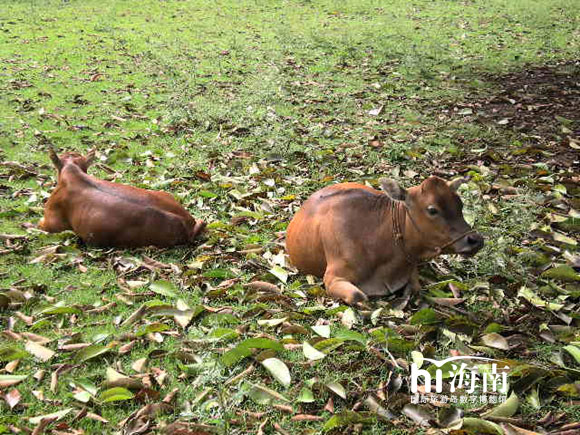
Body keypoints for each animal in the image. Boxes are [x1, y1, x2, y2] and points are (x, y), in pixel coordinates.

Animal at [286, 176, 484, 306]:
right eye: (432, 210)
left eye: (460, 205)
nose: (476, 239)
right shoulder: (333, 278)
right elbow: (358, 296)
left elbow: (415, 287)